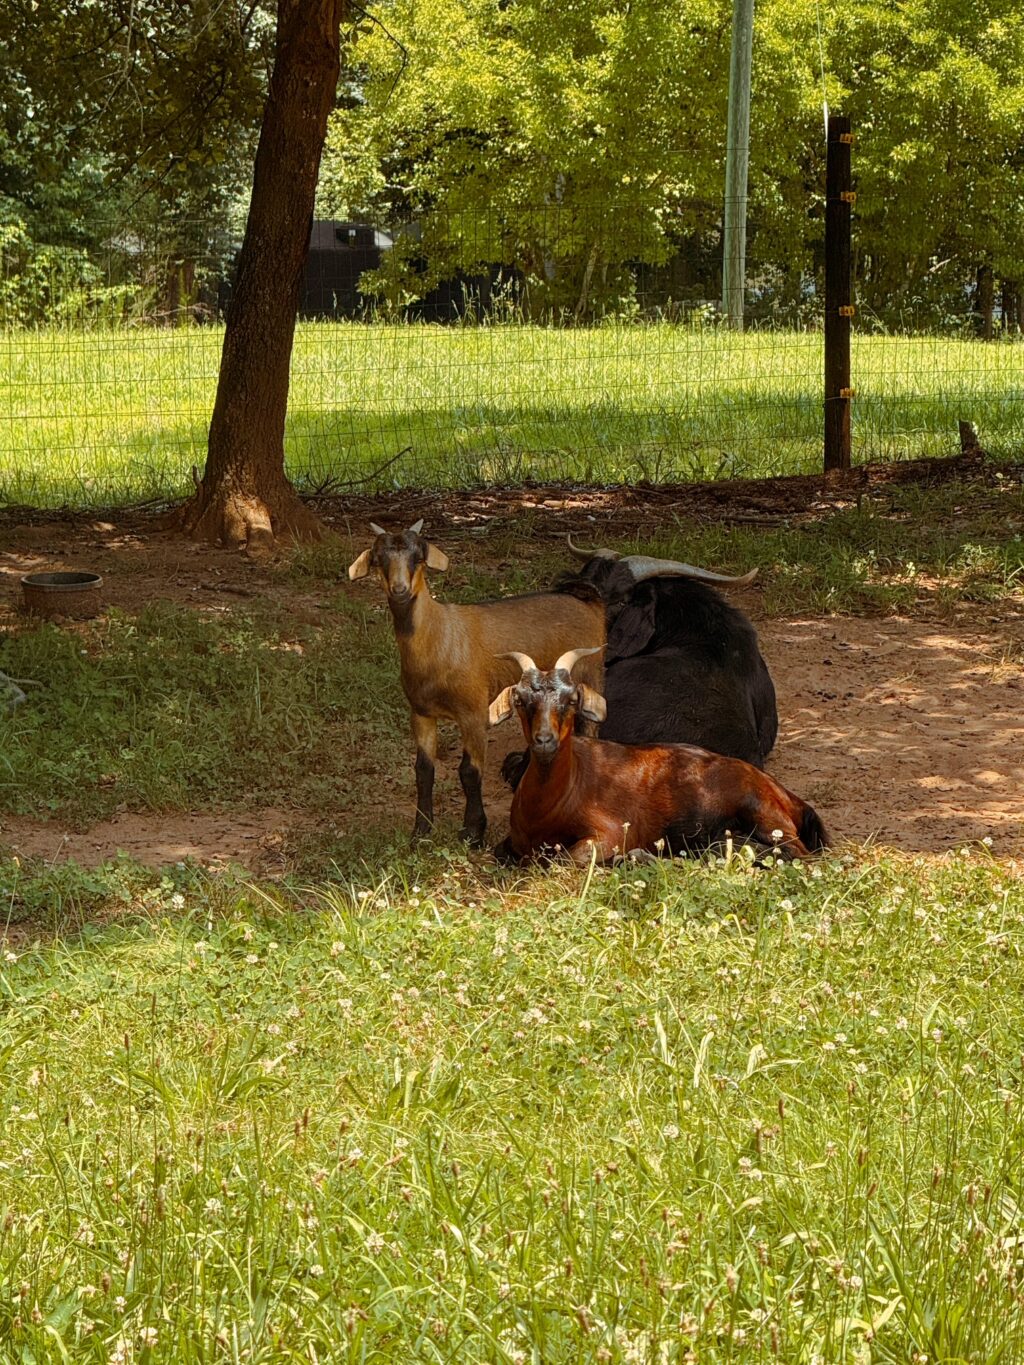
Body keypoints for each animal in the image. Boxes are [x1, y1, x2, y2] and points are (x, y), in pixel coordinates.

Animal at [348, 520, 605, 844]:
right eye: (378, 559)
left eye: (418, 557)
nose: (400, 590)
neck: (439, 636)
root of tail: (590, 602)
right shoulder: (421, 712)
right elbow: (423, 770)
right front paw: (421, 830)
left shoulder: (473, 712)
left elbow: (469, 772)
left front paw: (472, 831)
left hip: (590, 675)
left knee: (590, 728)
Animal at [490, 649, 827, 865]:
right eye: (520, 699)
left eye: (571, 699)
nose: (544, 741)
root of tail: (783, 792)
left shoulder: (611, 832)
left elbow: (566, 859)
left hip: (763, 813)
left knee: (794, 852)